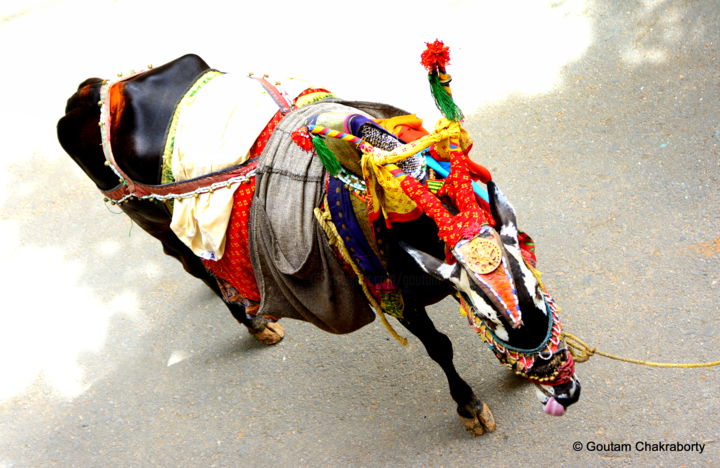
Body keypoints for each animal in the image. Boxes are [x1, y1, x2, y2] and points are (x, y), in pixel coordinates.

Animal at [59, 44, 584, 436]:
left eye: (537, 287)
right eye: (493, 317)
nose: (564, 388)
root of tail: (94, 90)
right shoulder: (393, 295)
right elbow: (440, 347)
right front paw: (470, 407)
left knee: (208, 266)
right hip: (148, 217)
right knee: (191, 264)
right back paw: (255, 321)